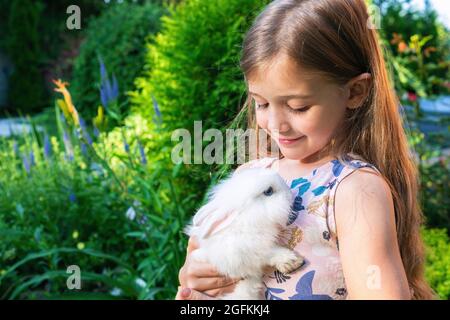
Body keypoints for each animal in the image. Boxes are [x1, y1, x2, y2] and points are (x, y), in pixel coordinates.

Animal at [184, 166, 306, 298]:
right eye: (268, 191)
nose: (290, 192)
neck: (245, 219)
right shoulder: (242, 253)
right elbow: (268, 253)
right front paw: (292, 261)